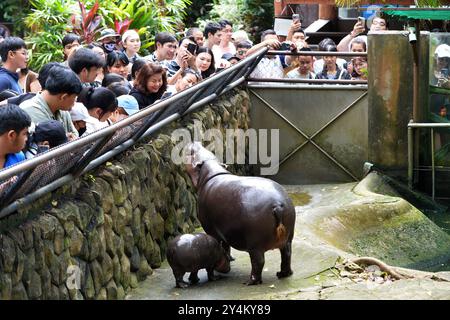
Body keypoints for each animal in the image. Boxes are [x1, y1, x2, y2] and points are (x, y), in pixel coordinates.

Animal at [185, 142, 298, 284]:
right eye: (205, 149)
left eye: (192, 153)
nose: (196, 142)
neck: (210, 173)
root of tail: (277, 204)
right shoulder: (223, 230)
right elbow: (225, 246)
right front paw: (230, 259)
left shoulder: (212, 230)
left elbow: (220, 245)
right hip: (288, 238)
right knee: (287, 255)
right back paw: (283, 274)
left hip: (255, 245)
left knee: (258, 262)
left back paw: (250, 282)